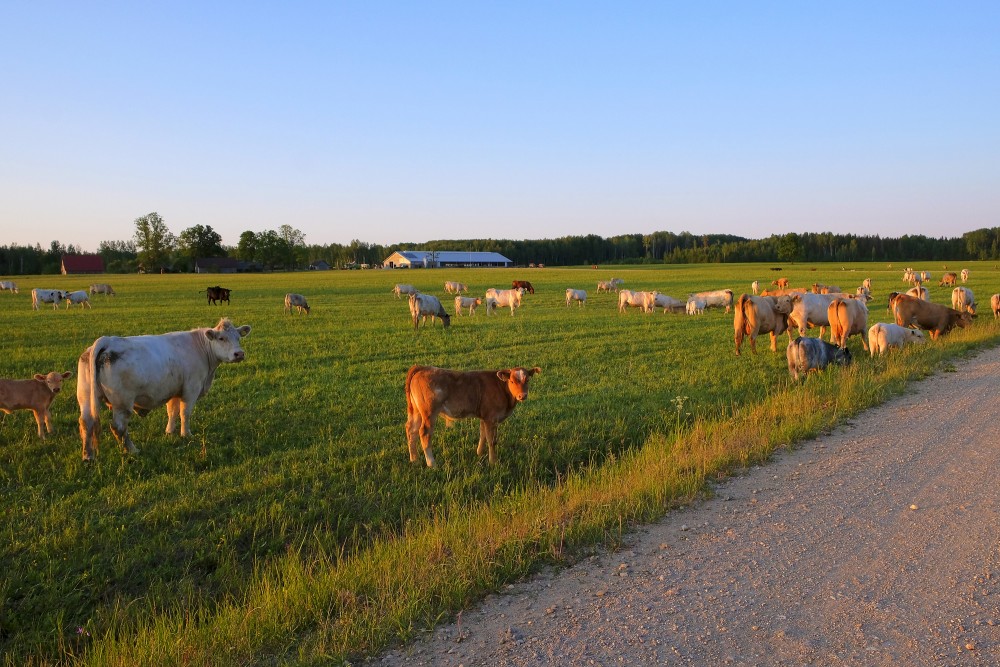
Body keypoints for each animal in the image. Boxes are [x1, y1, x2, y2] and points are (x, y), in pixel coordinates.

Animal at [76, 318, 252, 460]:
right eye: (221, 338)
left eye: (238, 337)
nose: (239, 354)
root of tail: (108, 341)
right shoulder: (191, 389)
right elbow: (185, 413)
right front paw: (186, 434)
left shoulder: (174, 391)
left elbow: (172, 412)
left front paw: (169, 432)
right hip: (122, 403)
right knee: (118, 427)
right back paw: (132, 450)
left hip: (85, 397)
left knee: (86, 422)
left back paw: (88, 456)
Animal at [400, 362, 540, 468]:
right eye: (511, 381)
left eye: (527, 380)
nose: (522, 395)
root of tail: (422, 367)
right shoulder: (491, 418)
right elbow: (492, 441)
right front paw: (493, 462)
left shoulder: (485, 417)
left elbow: (483, 435)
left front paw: (479, 453)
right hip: (429, 412)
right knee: (424, 433)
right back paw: (432, 464)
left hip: (416, 411)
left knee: (411, 430)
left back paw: (414, 459)